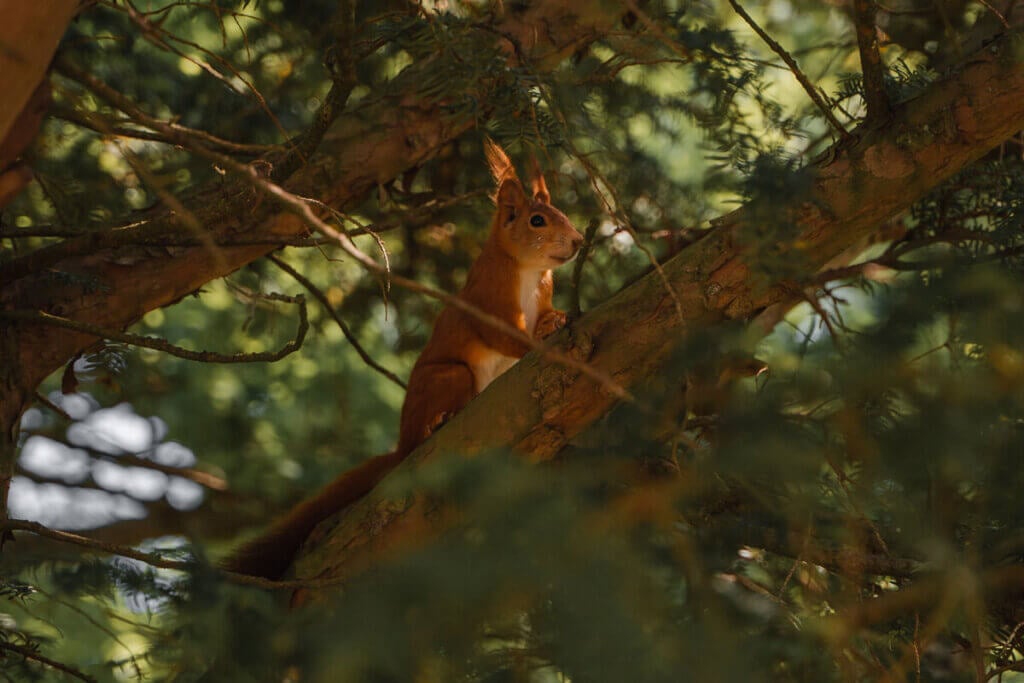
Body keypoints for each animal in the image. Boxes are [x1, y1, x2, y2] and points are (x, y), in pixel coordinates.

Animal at [223, 140, 584, 579]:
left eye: (561, 213)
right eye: (537, 220)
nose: (578, 241)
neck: (529, 272)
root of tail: (401, 441)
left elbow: (545, 313)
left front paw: (556, 319)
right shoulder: (488, 303)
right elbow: (505, 336)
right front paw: (538, 339)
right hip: (452, 376)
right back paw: (437, 423)